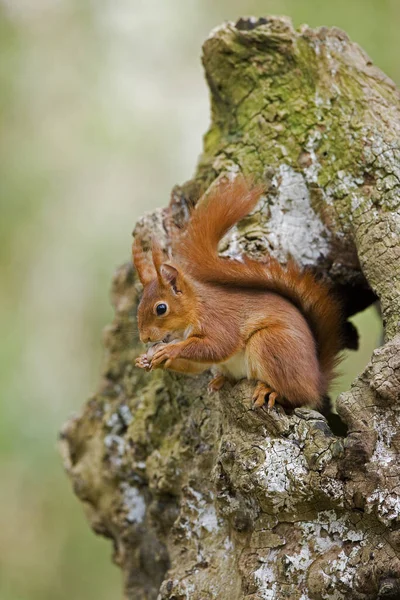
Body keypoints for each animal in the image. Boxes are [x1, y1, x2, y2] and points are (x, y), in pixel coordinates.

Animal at [133, 173, 342, 408]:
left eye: (161, 308)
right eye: (139, 307)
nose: (145, 338)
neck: (196, 307)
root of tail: (315, 383)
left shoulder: (219, 321)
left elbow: (218, 346)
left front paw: (170, 350)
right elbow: (196, 366)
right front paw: (144, 360)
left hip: (270, 343)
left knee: (295, 396)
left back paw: (270, 391)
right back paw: (220, 381)